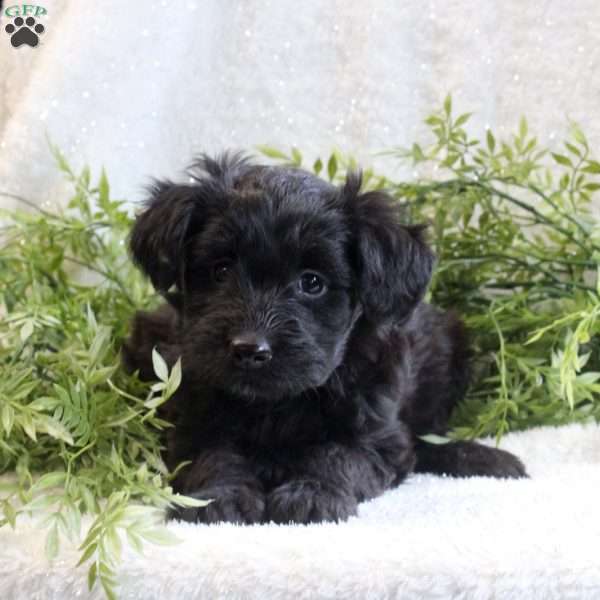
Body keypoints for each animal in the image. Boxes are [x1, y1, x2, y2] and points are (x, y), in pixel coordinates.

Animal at [123, 155, 524, 524]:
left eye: (312, 282)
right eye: (221, 271)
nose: (250, 349)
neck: (275, 404)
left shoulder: (377, 432)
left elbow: (340, 455)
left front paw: (312, 494)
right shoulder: (193, 414)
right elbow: (213, 455)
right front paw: (217, 497)